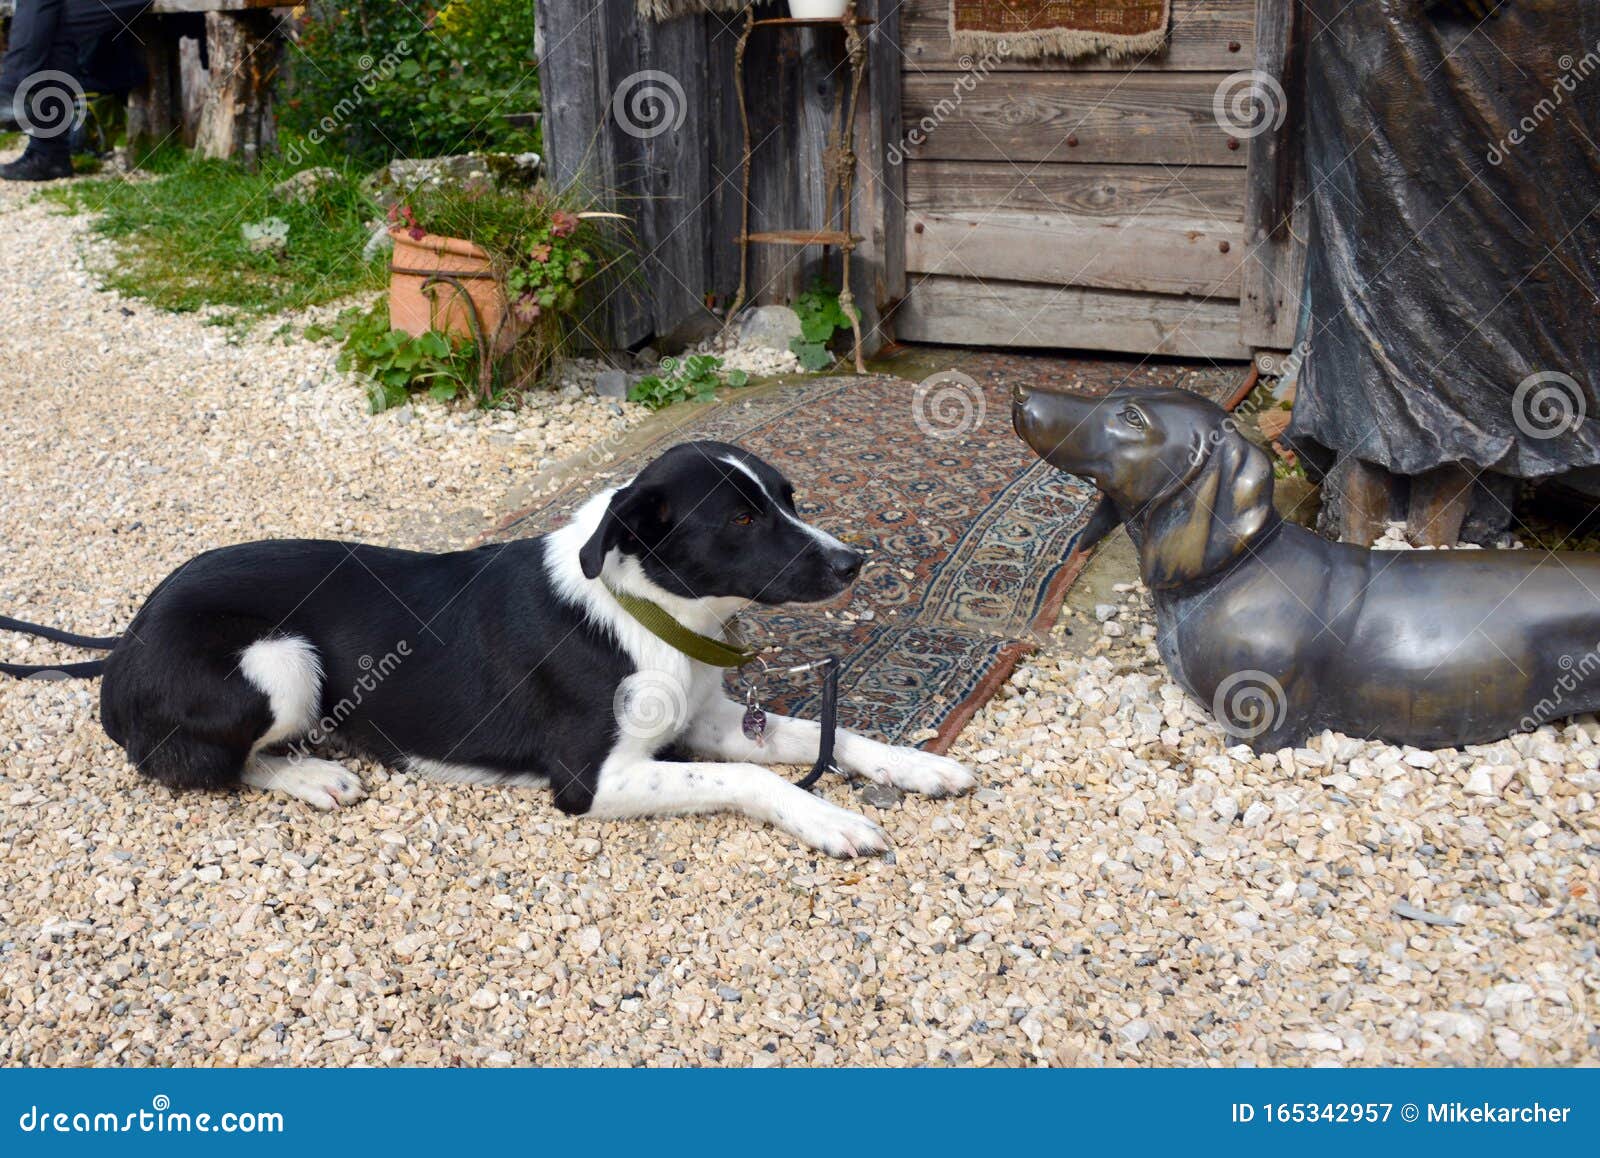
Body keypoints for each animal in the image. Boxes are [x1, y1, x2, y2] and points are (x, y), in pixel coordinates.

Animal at [0, 444, 966, 857]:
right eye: (738, 520)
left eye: (787, 497)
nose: (853, 561)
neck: (644, 612)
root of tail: (122, 643)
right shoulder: (593, 781)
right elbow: (755, 782)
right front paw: (832, 820)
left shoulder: (718, 721)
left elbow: (826, 738)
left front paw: (919, 766)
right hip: (283, 665)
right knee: (206, 764)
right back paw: (313, 774)